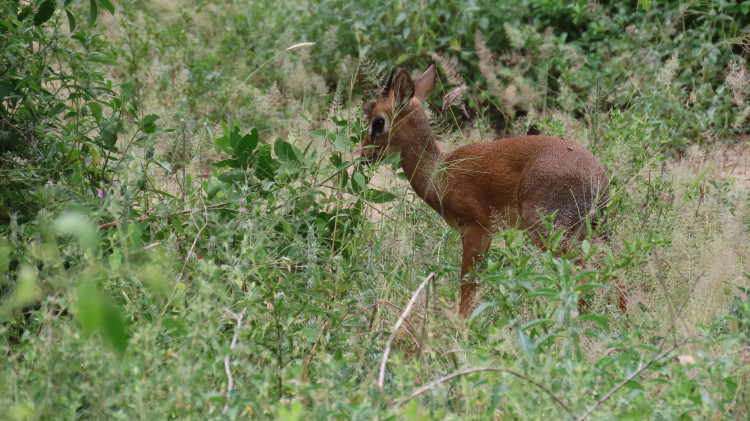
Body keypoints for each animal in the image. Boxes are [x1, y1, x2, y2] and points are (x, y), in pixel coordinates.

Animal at [362, 62, 612, 316]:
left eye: (378, 121)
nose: (364, 155)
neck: (438, 173)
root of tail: (598, 180)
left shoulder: (475, 228)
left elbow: (467, 286)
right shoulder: (488, 234)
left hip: (550, 232)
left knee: (586, 277)